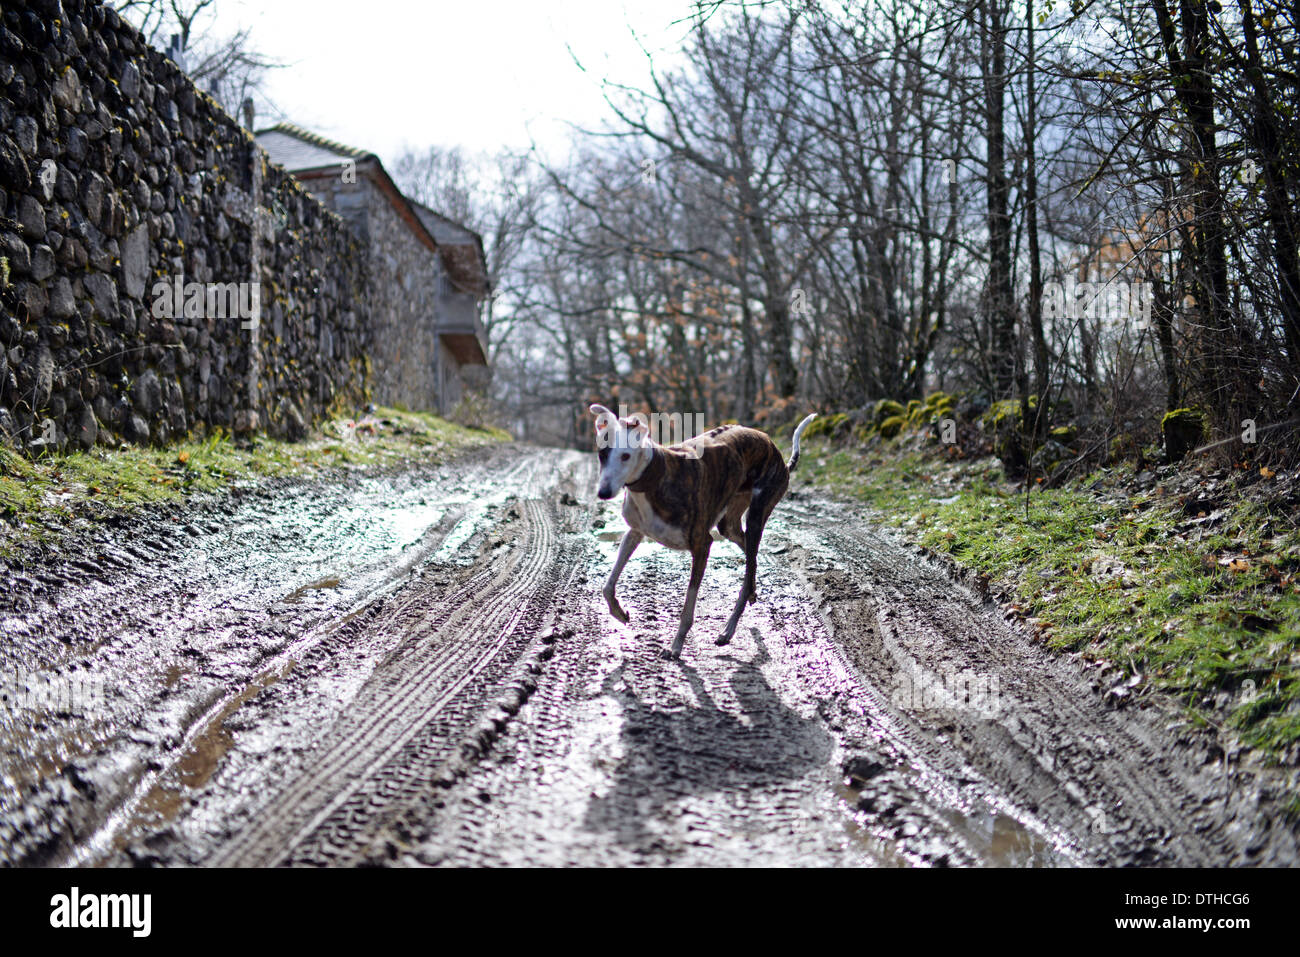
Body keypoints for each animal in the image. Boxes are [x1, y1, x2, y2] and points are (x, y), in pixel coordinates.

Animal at [587, 403, 811, 657]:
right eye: (602, 454)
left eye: (625, 456)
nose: (604, 493)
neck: (656, 476)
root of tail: (778, 454)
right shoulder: (635, 532)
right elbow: (608, 586)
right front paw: (619, 612)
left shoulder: (702, 544)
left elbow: (688, 606)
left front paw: (676, 646)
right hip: (729, 524)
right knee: (750, 558)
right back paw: (751, 591)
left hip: (757, 513)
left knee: (750, 559)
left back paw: (728, 629)